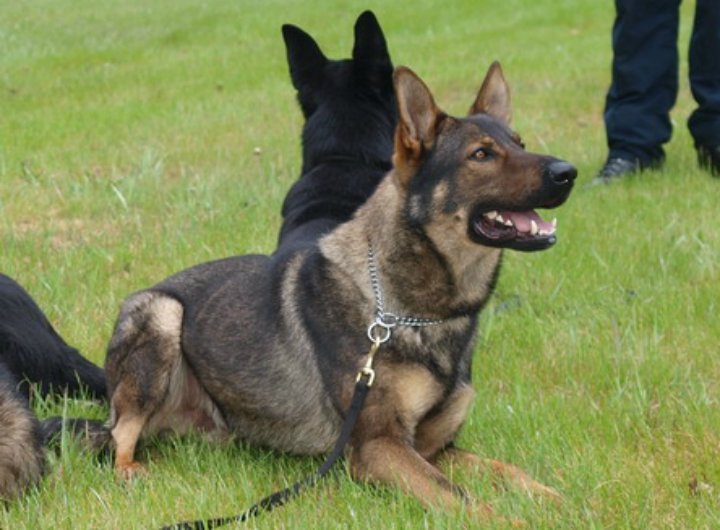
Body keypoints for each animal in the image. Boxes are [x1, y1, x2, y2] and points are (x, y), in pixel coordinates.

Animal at [101, 12, 576, 520]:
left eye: (520, 143)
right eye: (482, 155)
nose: (568, 173)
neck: (407, 309)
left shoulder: (434, 449)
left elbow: (510, 472)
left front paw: (562, 498)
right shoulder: (379, 446)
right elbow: (469, 502)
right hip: (162, 316)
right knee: (118, 436)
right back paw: (131, 471)